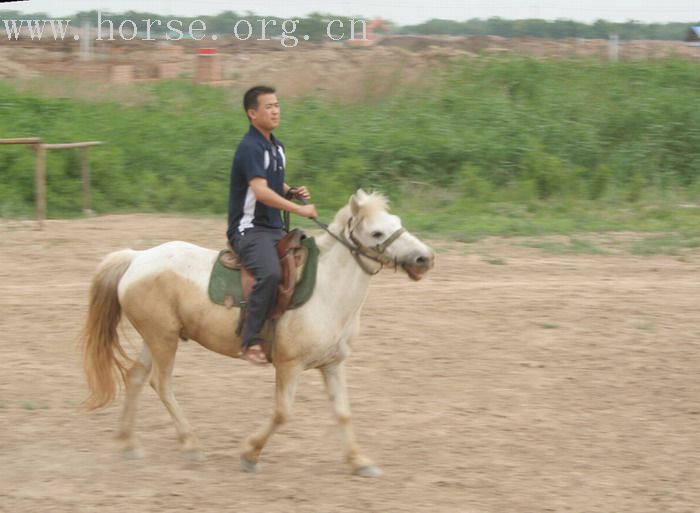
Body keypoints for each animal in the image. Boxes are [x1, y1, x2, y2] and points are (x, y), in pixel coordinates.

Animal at [80, 190, 432, 478]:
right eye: (376, 232)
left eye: (397, 222)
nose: (424, 257)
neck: (326, 289)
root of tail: (137, 258)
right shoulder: (289, 366)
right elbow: (282, 413)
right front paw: (250, 454)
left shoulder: (333, 364)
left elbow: (343, 413)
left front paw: (359, 462)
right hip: (163, 340)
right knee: (161, 384)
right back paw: (191, 446)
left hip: (155, 337)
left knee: (136, 377)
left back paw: (129, 443)